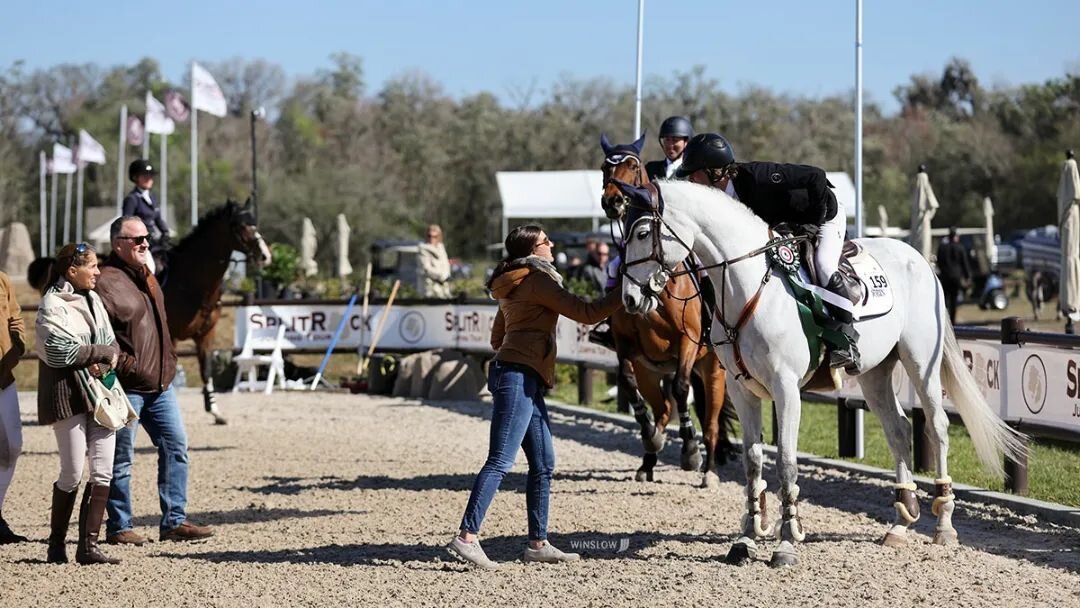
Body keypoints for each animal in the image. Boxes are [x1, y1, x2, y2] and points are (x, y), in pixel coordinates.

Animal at [166, 198, 274, 423]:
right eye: (240, 226)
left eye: (255, 224)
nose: (265, 256)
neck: (189, 282)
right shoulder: (171, 335)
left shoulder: (206, 334)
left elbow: (206, 370)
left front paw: (215, 410)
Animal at [596, 134, 738, 490]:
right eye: (605, 167)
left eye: (632, 166)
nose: (612, 202)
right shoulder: (626, 348)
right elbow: (628, 384)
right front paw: (651, 438)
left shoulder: (688, 343)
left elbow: (681, 390)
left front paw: (690, 452)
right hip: (651, 370)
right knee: (661, 409)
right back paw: (648, 457)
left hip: (713, 370)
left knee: (711, 423)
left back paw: (708, 470)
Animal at [613, 178, 1023, 570]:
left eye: (643, 233)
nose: (630, 300)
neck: (747, 286)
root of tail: (920, 260)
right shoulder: (742, 389)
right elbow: (753, 461)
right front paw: (746, 539)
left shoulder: (786, 389)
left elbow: (786, 461)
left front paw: (786, 542)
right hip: (875, 373)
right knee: (898, 429)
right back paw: (900, 524)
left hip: (921, 362)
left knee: (936, 428)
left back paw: (943, 524)